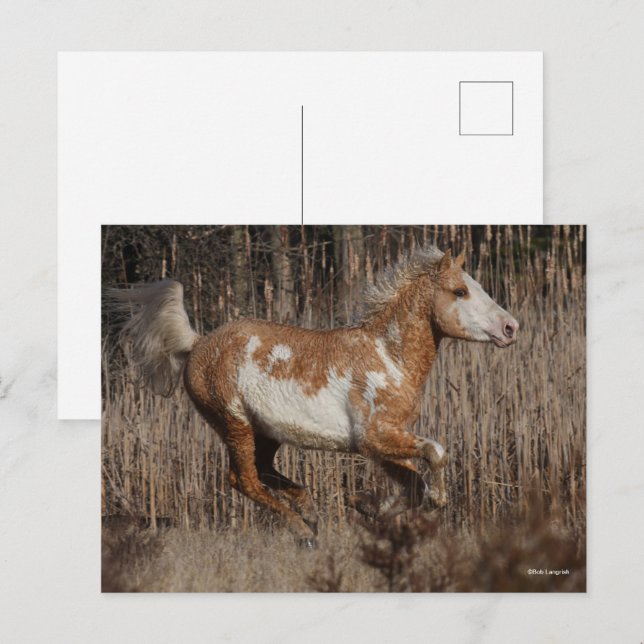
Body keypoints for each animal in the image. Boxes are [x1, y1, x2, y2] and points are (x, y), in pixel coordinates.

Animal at [111, 246, 518, 546]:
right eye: (460, 291)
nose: (511, 327)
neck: (388, 356)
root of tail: (196, 344)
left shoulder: (382, 443)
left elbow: (412, 483)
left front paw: (366, 507)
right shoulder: (374, 437)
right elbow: (436, 453)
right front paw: (435, 499)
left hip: (266, 433)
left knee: (261, 471)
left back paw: (309, 511)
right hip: (234, 423)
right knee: (244, 479)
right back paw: (303, 530)